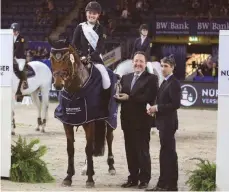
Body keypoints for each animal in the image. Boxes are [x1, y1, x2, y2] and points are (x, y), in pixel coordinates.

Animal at [47, 38, 117, 187]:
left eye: (67, 59)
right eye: (51, 59)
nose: (58, 85)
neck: (75, 90)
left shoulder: (88, 121)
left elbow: (88, 148)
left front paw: (90, 179)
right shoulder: (67, 123)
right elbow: (71, 149)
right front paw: (68, 177)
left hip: (109, 119)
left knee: (109, 138)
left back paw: (111, 167)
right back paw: (85, 168)